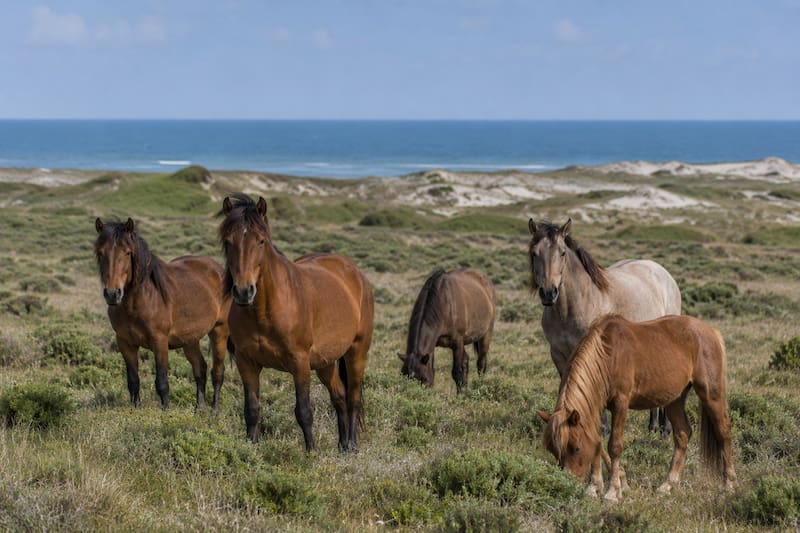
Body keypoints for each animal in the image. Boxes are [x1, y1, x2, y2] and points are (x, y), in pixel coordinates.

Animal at [94, 217, 232, 410]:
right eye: (100, 253)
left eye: (127, 253)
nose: (113, 294)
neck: (138, 303)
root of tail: (217, 269)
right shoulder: (125, 343)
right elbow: (133, 381)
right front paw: (135, 410)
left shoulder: (159, 342)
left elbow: (162, 382)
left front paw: (165, 412)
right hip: (190, 339)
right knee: (200, 369)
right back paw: (199, 410)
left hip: (219, 332)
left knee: (217, 372)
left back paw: (215, 411)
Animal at [218, 194, 374, 451]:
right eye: (229, 242)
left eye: (261, 241)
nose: (243, 291)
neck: (265, 311)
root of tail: (355, 273)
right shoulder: (246, 362)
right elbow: (251, 410)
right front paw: (251, 449)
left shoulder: (299, 363)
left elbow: (303, 411)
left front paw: (311, 453)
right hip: (325, 362)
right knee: (339, 397)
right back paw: (342, 446)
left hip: (356, 352)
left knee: (353, 398)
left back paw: (352, 446)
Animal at [528, 218, 681, 436]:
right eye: (535, 253)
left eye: (562, 253)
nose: (549, 293)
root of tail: (662, 271)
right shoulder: (558, 354)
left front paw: (602, 429)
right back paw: (653, 426)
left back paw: (665, 429)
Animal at [538, 314, 736, 502]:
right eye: (553, 451)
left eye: (576, 448)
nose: (568, 483)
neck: (608, 355)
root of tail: (711, 332)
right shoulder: (596, 407)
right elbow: (597, 441)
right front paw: (596, 487)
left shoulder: (621, 404)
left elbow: (614, 445)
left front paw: (612, 491)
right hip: (675, 399)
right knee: (683, 434)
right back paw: (668, 484)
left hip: (711, 394)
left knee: (723, 432)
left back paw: (729, 484)